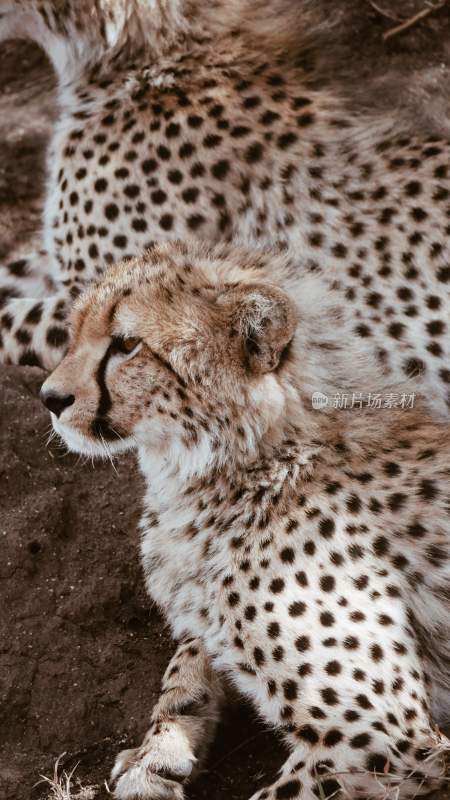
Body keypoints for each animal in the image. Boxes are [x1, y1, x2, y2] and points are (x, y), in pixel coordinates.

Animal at [39, 242, 450, 800]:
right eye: (76, 330)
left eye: (126, 344)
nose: (49, 398)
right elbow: (189, 652)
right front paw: (155, 754)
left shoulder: (390, 736)